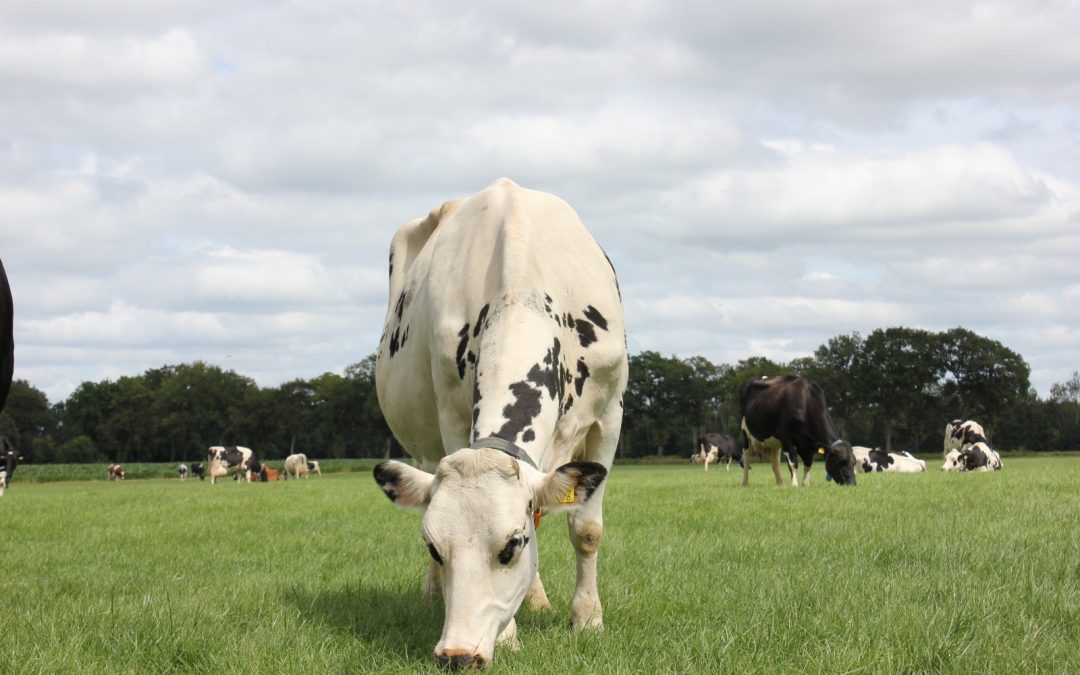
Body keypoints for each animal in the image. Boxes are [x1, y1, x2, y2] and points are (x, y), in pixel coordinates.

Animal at [371, 176, 630, 665]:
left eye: (512, 546)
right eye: (434, 546)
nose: (457, 653)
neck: (520, 294)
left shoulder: (609, 415)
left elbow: (586, 529)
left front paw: (587, 619)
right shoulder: (452, 416)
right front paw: (509, 634)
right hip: (422, 447)